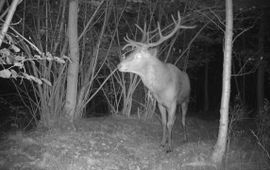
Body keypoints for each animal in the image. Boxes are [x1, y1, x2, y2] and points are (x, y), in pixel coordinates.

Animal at [117, 12, 195, 153]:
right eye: (132, 51)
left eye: (138, 56)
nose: (119, 65)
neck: (161, 87)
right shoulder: (160, 103)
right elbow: (164, 123)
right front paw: (163, 143)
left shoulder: (172, 102)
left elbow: (170, 123)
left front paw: (169, 147)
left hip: (186, 100)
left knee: (183, 120)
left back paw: (185, 138)